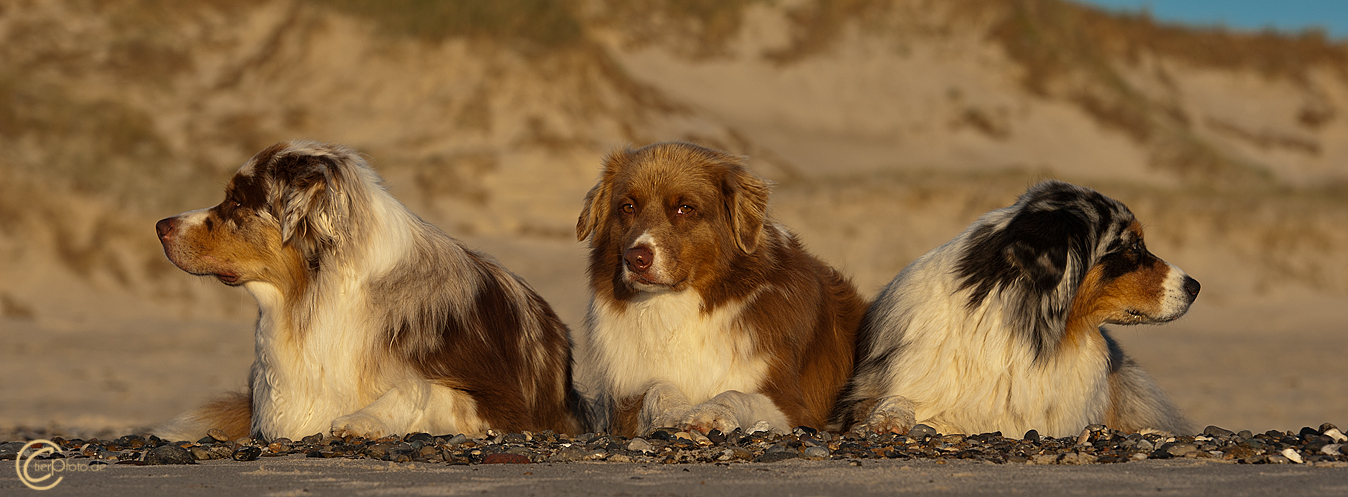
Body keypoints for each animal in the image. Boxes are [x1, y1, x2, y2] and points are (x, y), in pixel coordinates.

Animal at [154, 141, 585, 439]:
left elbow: (420, 386)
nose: (160, 225)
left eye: (238, 201)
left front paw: (364, 419)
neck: (319, 292)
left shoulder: (506, 404)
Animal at [568, 139, 862, 433]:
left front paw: (711, 412)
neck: (680, 307)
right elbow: (657, 388)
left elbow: (737, 395)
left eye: (685, 208)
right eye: (627, 207)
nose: (636, 259)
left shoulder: (793, 405)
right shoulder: (625, 403)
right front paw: (676, 411)